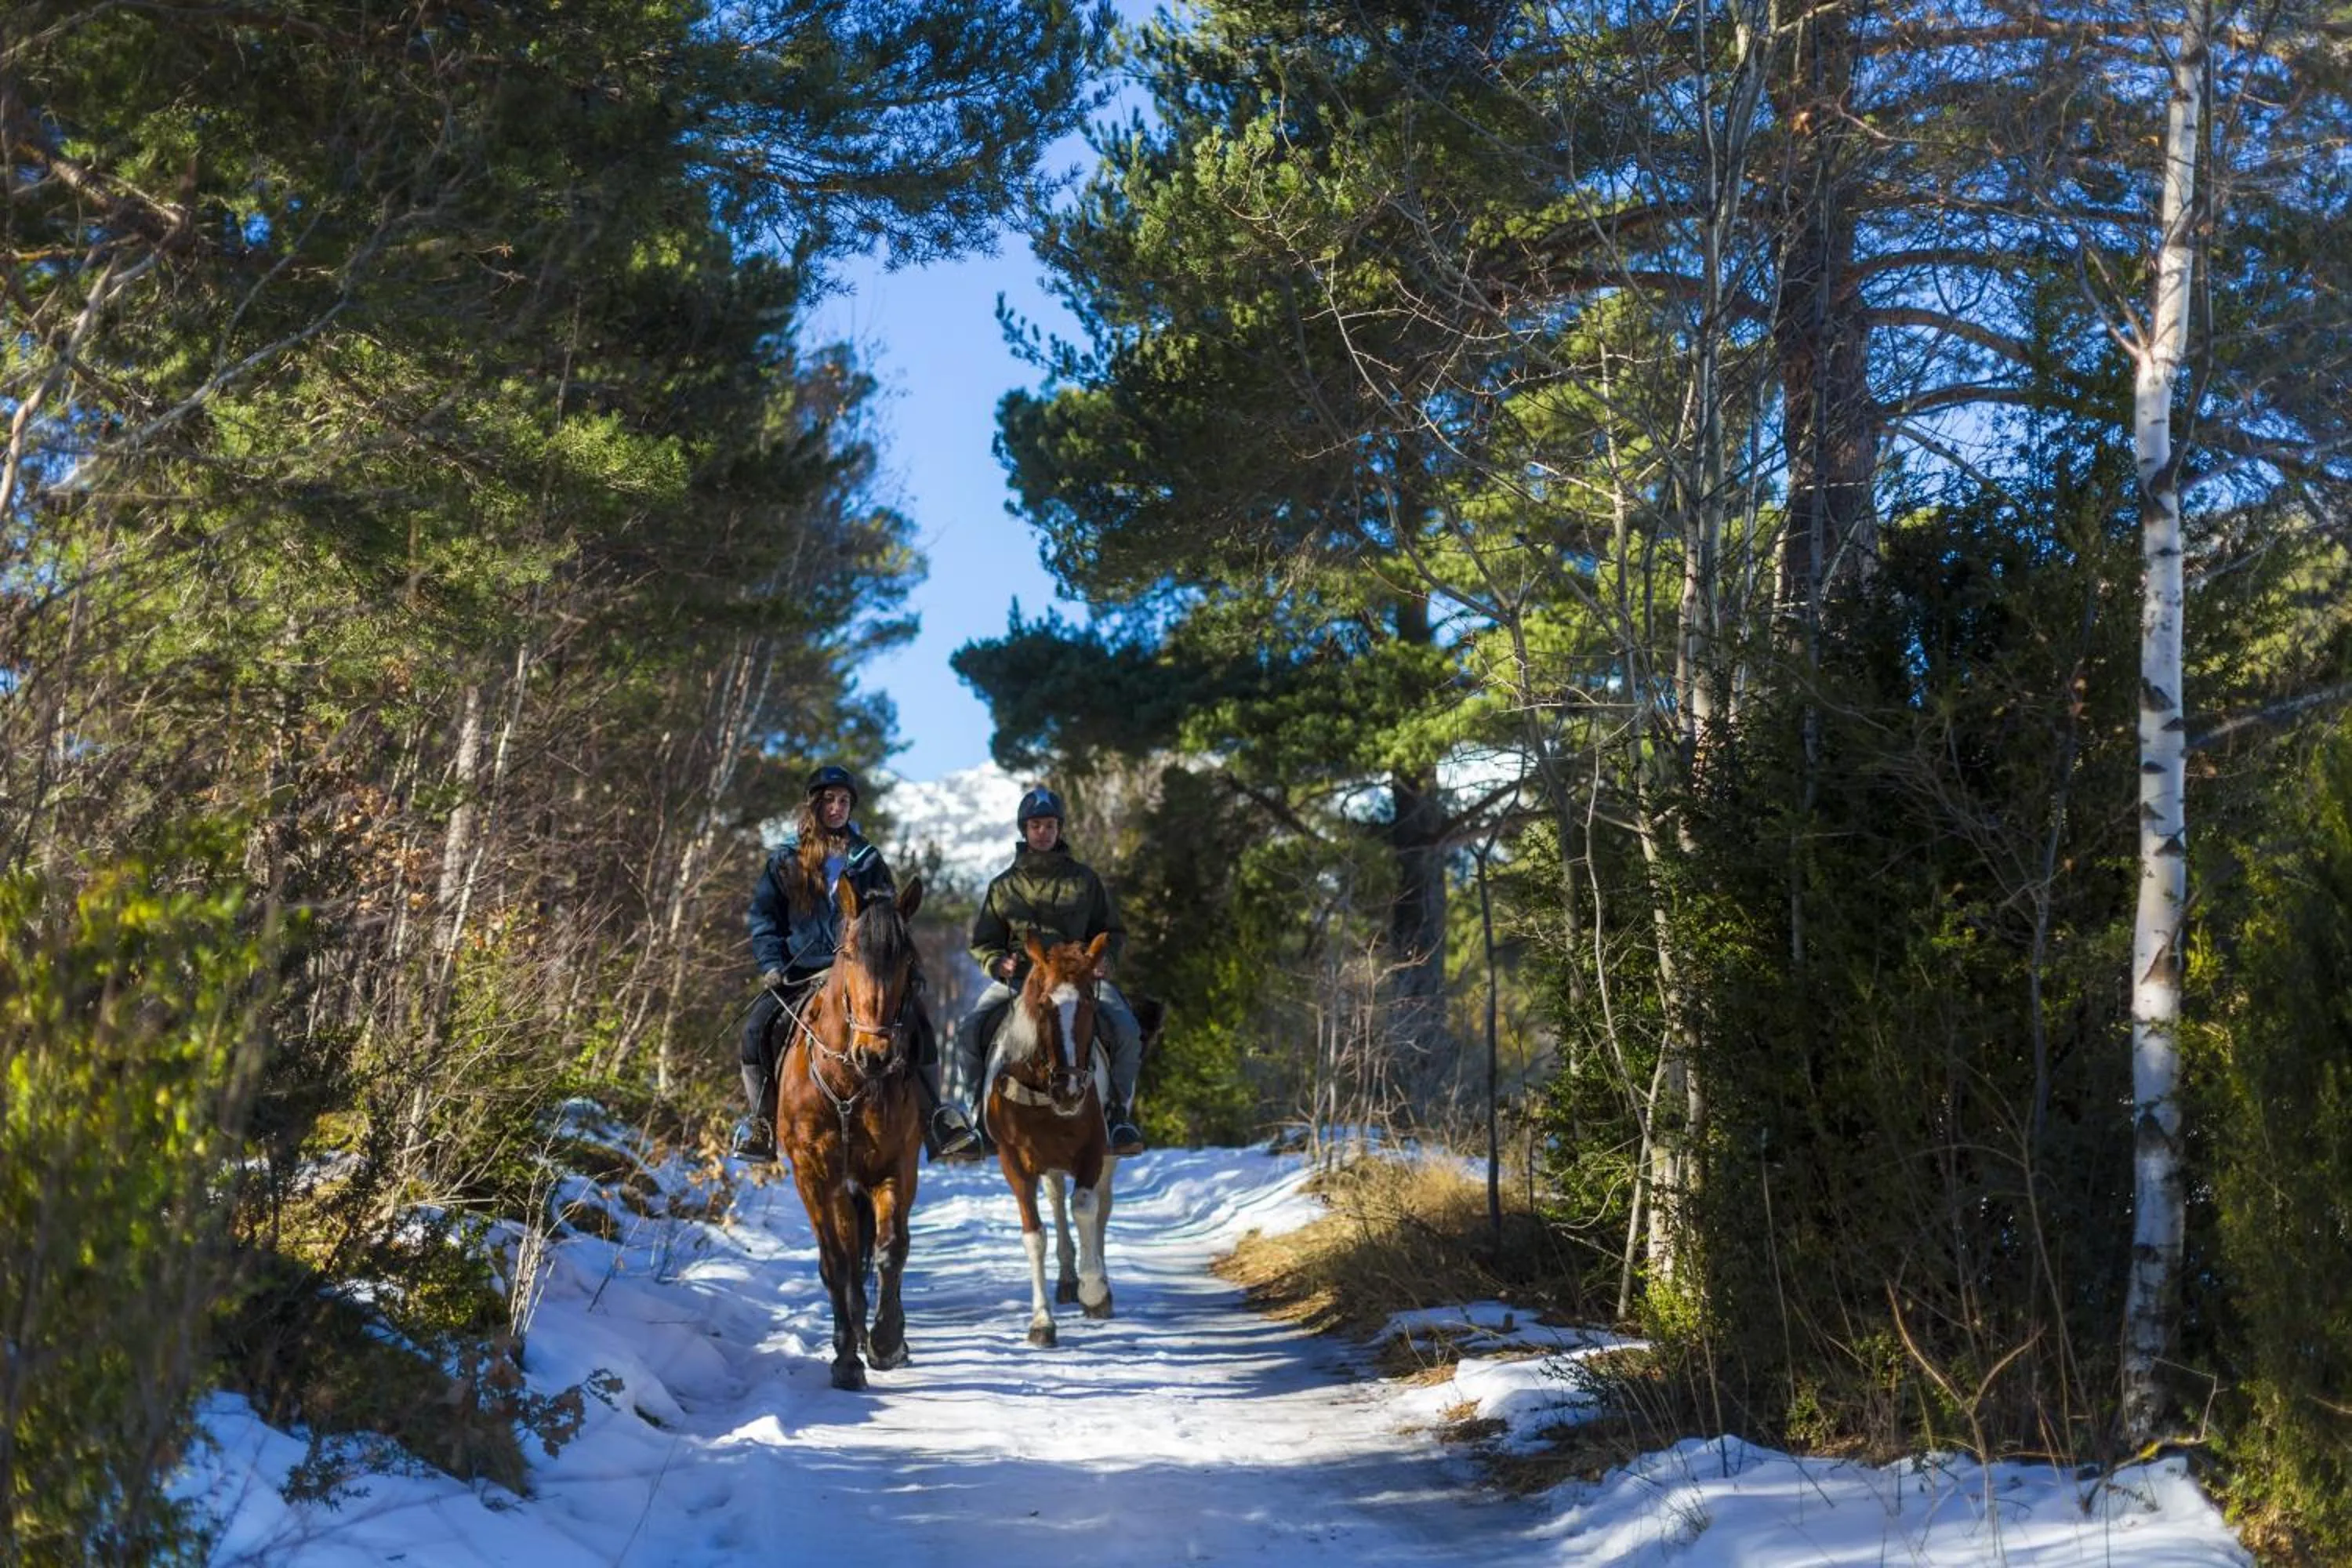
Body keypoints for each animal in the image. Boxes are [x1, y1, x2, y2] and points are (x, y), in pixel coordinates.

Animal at [767, 874, 926, 1390]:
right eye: (851, 954)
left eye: (907, 959)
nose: (874, 1054)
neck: (849, 1083)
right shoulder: (816, 1176)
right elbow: (837, 1261)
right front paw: (846, 1360)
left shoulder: (896, 1166)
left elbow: (891, 1249)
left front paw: (887, 1343)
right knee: (845, 1258)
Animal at [983, 931, 1117, 1346]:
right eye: (1044, 1004)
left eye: (1089, 999)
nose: (1069, 1090)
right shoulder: (1014, 1161)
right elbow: (1035, 1235)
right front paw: (1042, 1321)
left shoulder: (1093, 1150)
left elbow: (1085, 1208)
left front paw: (1095, 1290)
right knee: (1057, 1199)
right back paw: (1068, 1279)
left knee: (1100, 1207)